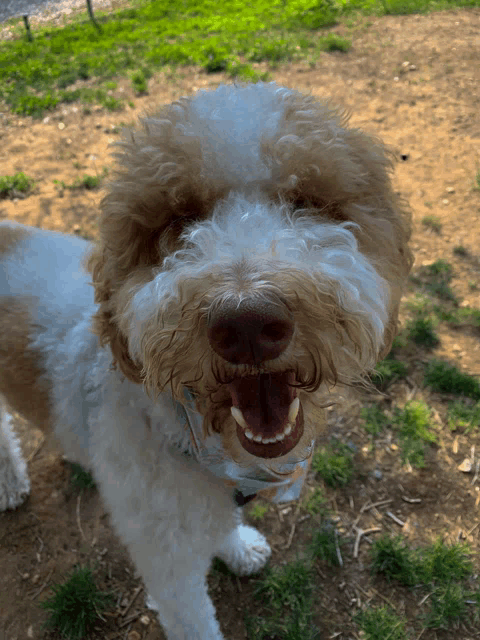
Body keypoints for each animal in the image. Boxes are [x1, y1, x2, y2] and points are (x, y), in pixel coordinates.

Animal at [0, 82, 412, 636]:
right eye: (179, 219)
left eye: (305, 202)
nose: (247, 325)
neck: (185, 431)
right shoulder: (167, 559)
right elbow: (192, 617)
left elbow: (224, 527)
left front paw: (237, 548)